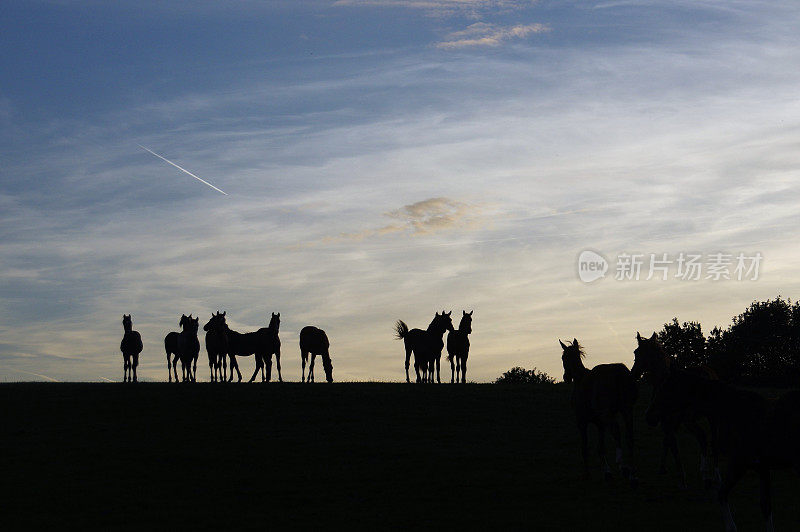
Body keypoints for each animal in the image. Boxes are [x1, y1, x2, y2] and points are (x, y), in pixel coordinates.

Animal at [560, 338, 640, 484]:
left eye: (564, 357)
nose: (566, 377)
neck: (581, 379)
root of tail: (618, 373)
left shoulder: (582, 422)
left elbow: (585, 446)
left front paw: (588, 474)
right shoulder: (600, 424)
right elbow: (601, 446)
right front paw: (609, 471)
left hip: (607, 413)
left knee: (616, 432)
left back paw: (622, 467)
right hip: (627, 410)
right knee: (629, 437)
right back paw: (632, 475)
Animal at [632, 332, 720, 490]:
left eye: (642, 352)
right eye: (636, 352)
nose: (633, 374)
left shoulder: (668, 420)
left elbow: (671, 443)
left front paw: (682, 477)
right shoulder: (671, 421)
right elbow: (667, 441)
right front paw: (663, 468)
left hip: (693, 420)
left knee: (704, 439)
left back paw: (707, 475)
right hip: (705, 418)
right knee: (709, 441)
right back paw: (710, 475)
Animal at [648, 370, 800, 532]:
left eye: (667, 388)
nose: (649, 416)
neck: (737, 413)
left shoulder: (739, 464)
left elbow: (721, 494)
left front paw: (731, 526)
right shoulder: (762, 468)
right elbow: (766, 506)